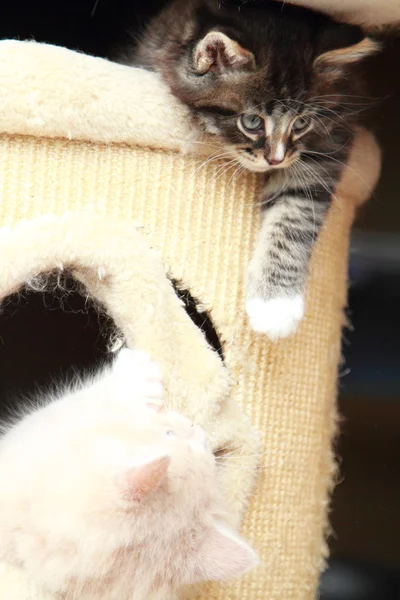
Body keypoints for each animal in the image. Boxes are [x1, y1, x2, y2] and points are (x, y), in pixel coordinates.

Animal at [116, 0, 378, 338]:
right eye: (252, 122)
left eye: (301, 123)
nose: (276, 159)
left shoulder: (329, 140)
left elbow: (295, 214)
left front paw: (276, 305)